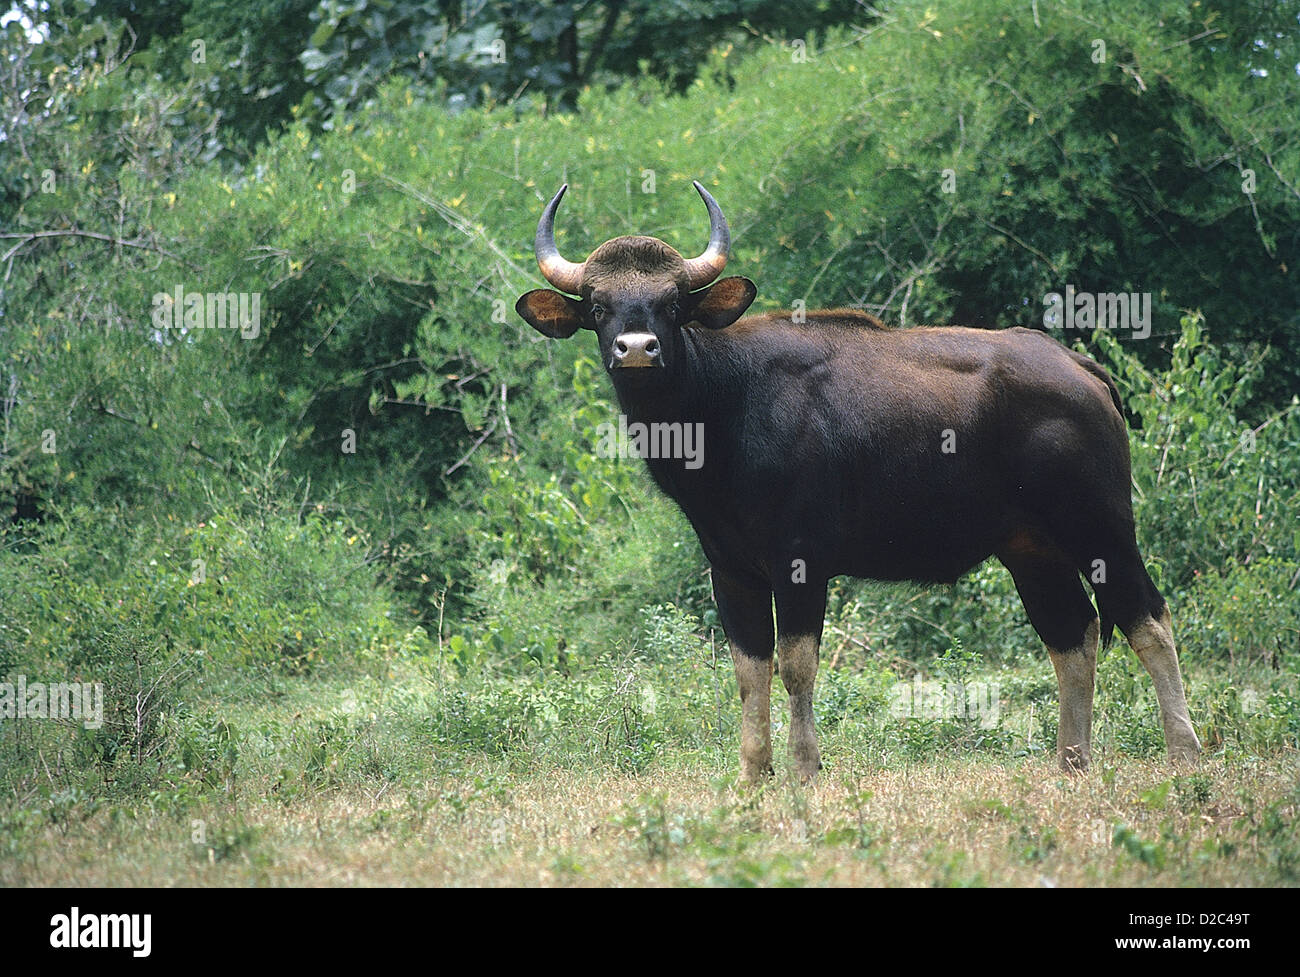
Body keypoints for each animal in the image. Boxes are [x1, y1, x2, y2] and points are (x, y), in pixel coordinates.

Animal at [514, 181, 1196, 779]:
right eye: (598, 307)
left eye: (673, 304)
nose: (636, 348)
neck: (724, 405)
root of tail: (1079, 368)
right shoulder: (729, 569)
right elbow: (748, 672)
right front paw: (752, 774)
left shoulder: (801, 562)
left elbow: (796, 666)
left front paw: (804, 769)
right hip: (1032, 550)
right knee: (1074, 637)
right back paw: (1072, 763)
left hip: (1101, 528)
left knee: (1149, 621)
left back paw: (1184, 755)